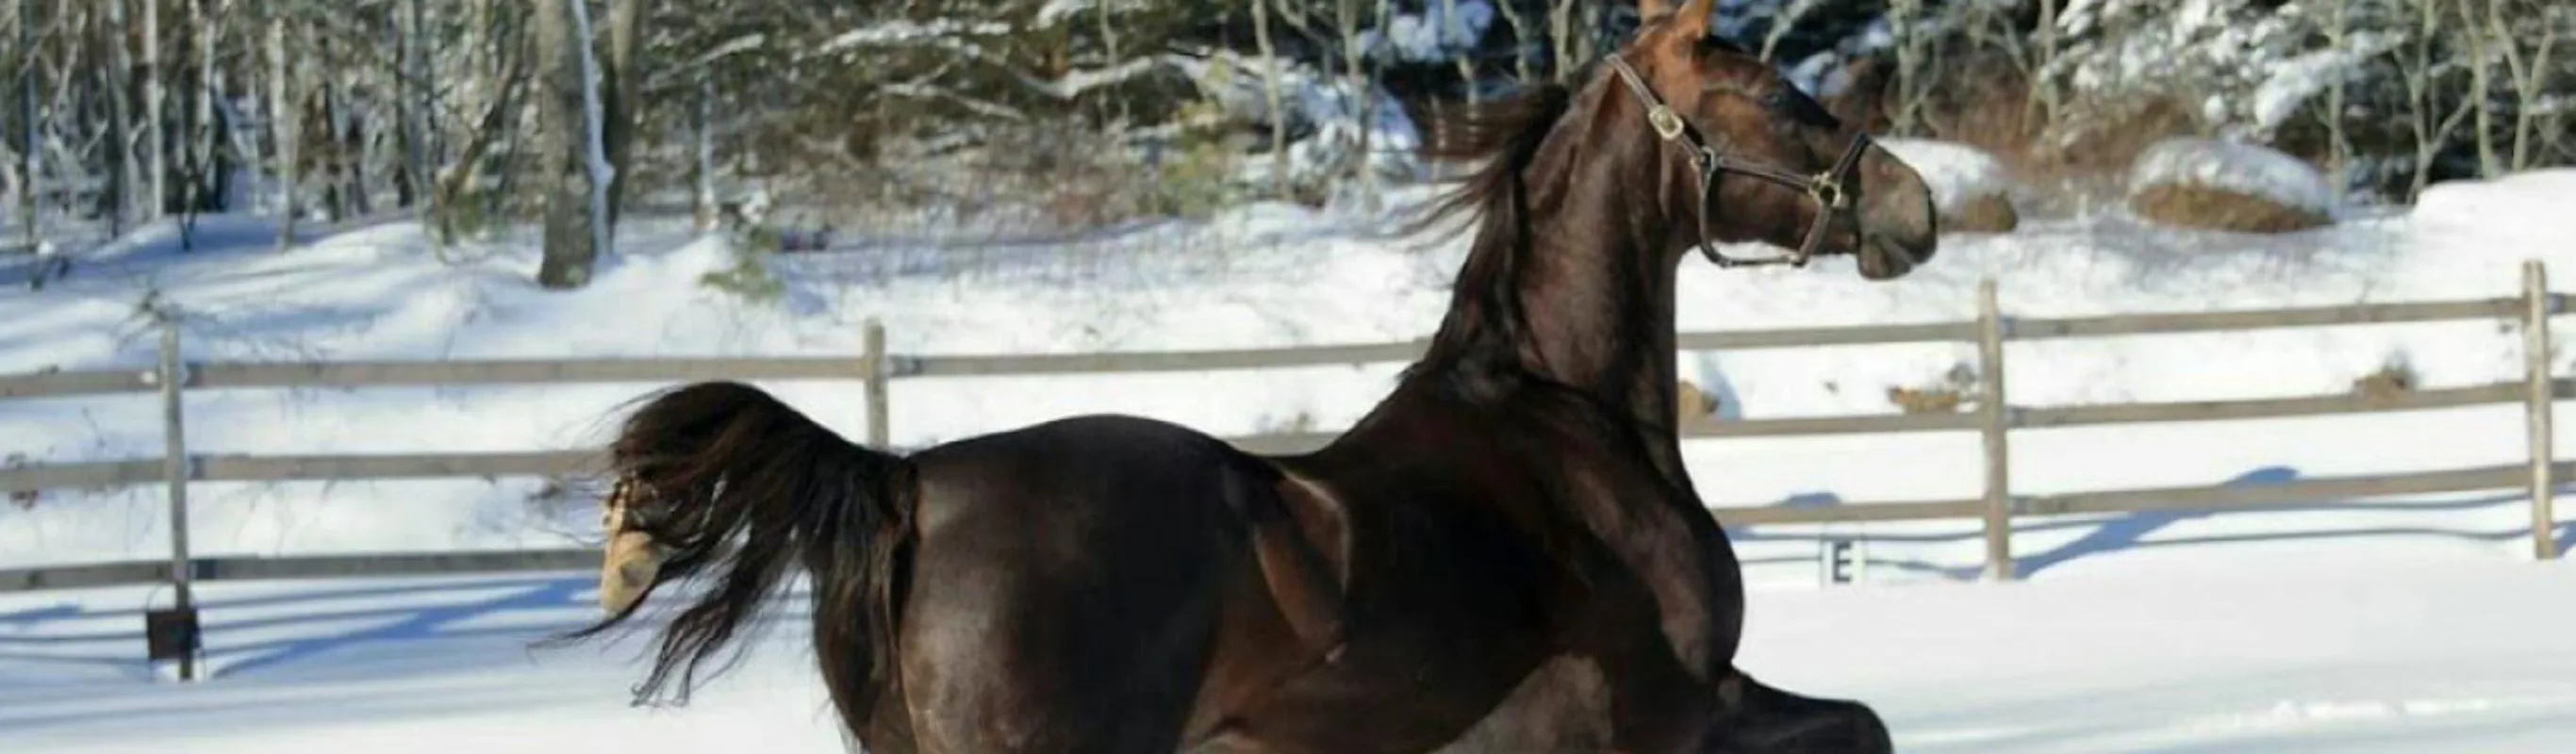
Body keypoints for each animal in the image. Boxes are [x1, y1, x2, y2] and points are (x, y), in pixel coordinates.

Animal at [556, 1, 1938, 751]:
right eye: (1786, 99)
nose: (1914, 206)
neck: (1572, 428)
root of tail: (907, 484)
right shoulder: (1673, 716)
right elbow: (1865, 727)